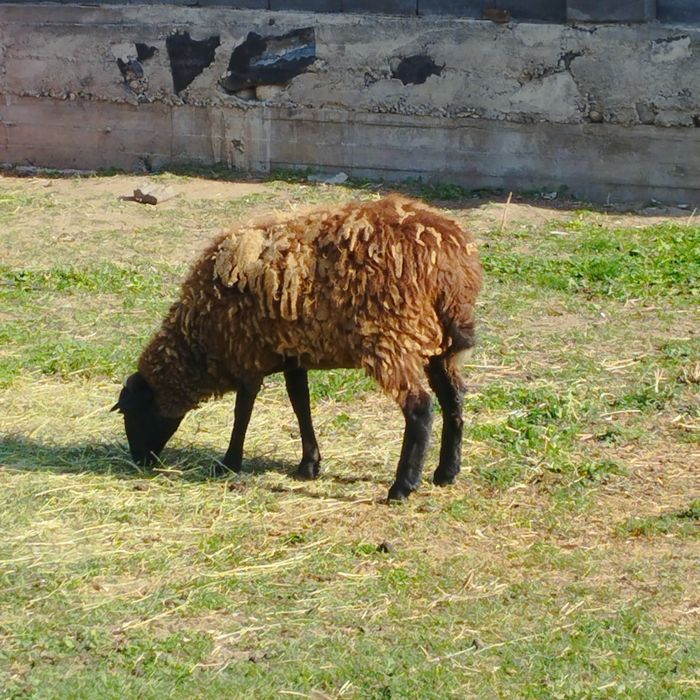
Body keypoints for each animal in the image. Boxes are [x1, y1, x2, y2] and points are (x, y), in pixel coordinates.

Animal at [112, 194, 483, 501]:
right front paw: (309, 464)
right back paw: (446, 472)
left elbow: (243, 410)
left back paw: (402, 487)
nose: (139, 460)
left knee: (420, 408)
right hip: (439, 344)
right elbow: (299, 402)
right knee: (453, 399)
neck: (200, 340)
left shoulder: (247, 354)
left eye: (133, 413)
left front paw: (230, 462)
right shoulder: (291, 353)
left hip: (393, 338)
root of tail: (452, 261)